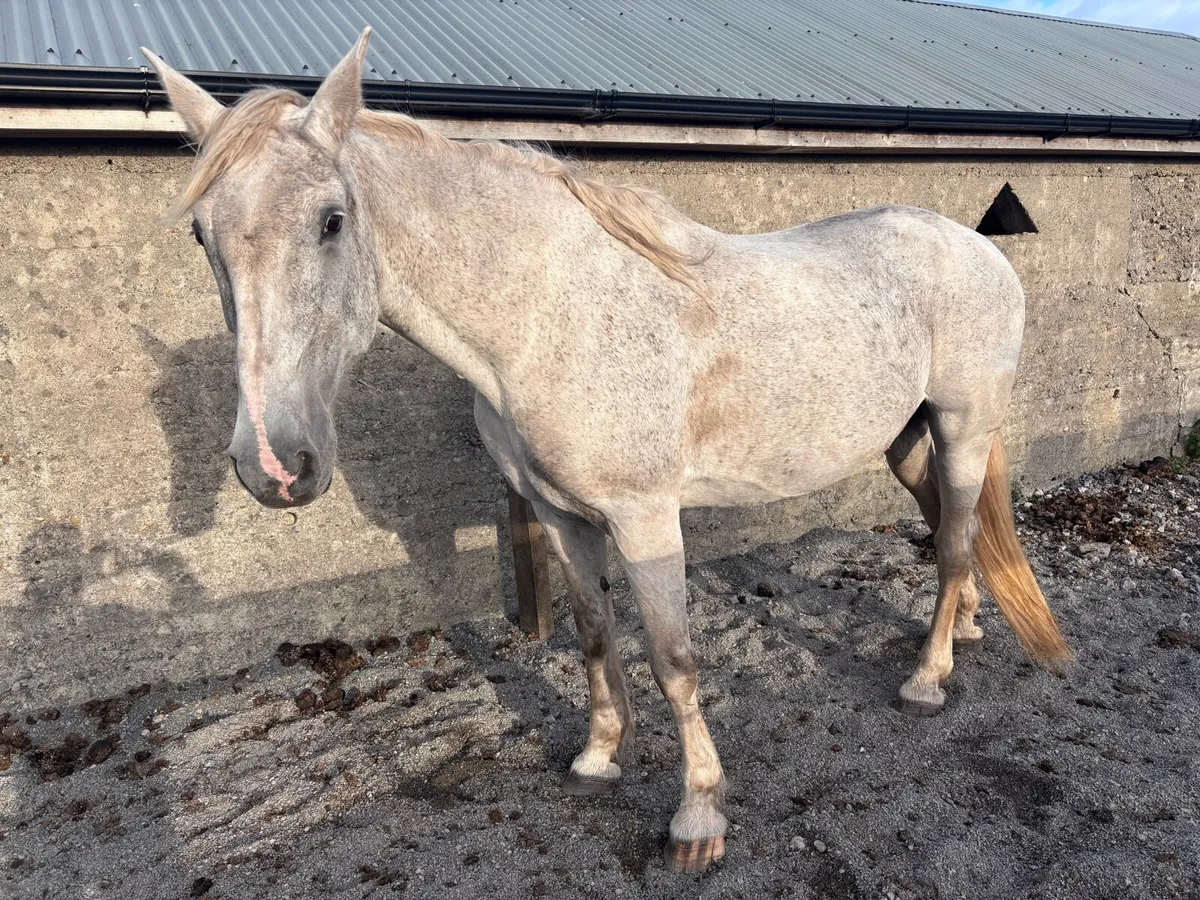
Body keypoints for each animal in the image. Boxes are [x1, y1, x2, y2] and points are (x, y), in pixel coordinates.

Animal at [142, 29, 1071, 873]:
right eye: (201, 236)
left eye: (331, 221)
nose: (274, 465)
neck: (546, 317)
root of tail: (978, 247)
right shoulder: (560, 514)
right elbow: (593, 630)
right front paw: (598, 756)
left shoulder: (645, 517)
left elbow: (673, 658)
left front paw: (698, 818)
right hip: (907, 442)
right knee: (951, 533)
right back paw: (969, 627)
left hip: (963, 429)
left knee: (953, 541)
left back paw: (927, 677)